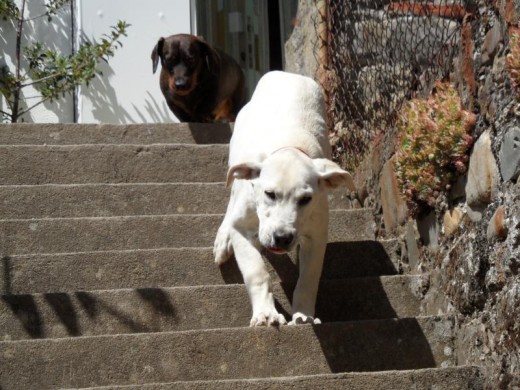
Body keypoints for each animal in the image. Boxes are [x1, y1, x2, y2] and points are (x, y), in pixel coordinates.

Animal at [213, 71, 356, 326]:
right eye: (269, 194)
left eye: (306, 199)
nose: (281, 238)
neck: (291, 145)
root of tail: (287, 74)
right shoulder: (242, 228)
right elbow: (257, 272)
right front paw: (265, 314)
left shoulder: (317, 235)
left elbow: (308, 279)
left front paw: (304, 316)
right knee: (232, 197)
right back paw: (222, 240)